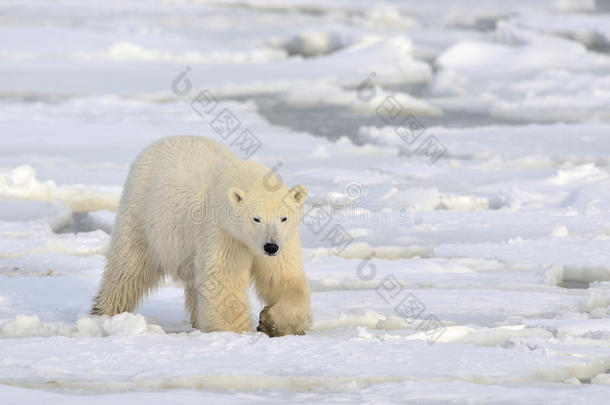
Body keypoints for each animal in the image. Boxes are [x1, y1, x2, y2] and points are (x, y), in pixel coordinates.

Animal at [91, 135, 308, 334]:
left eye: (283, 218)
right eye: (256, 218)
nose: (270, 247)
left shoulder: (285, 240)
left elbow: (284, 278)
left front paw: (272, 321)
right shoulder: (222, 232)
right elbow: (223, 281)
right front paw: (236, 331)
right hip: (141, 215)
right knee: (128, 269)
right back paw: (105, 313)